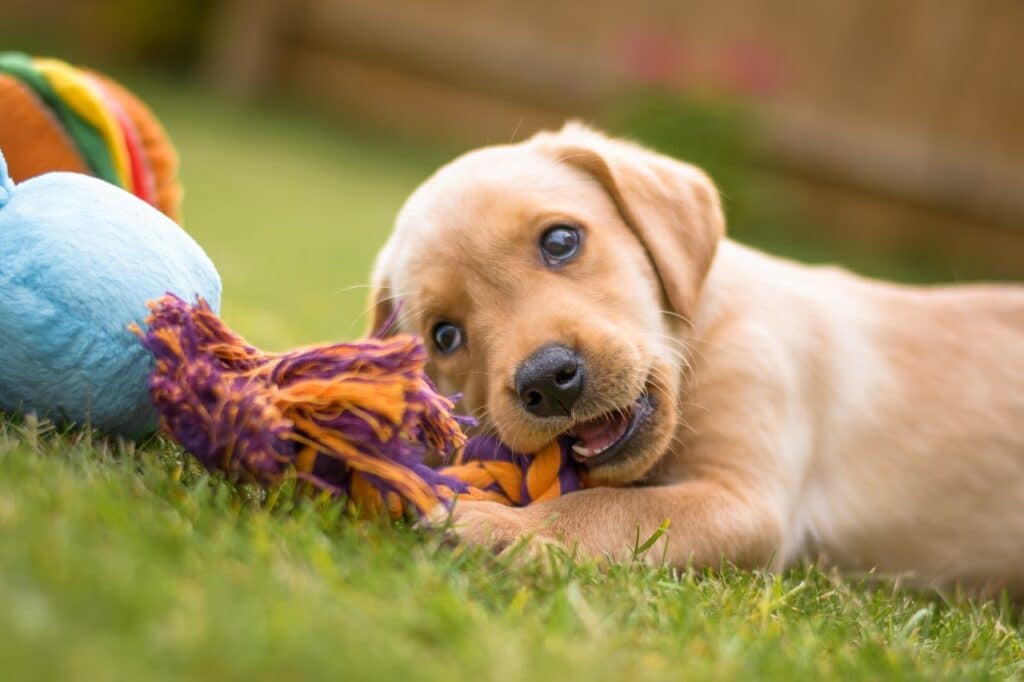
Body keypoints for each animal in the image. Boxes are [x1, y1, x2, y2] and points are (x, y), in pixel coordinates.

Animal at [368, 122, 1024, 589]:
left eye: (560, 240)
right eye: (445, 336)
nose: (549, 381)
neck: (699, 337)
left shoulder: (744, 501)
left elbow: (604, 508)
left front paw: (500, 526)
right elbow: (610, 501)